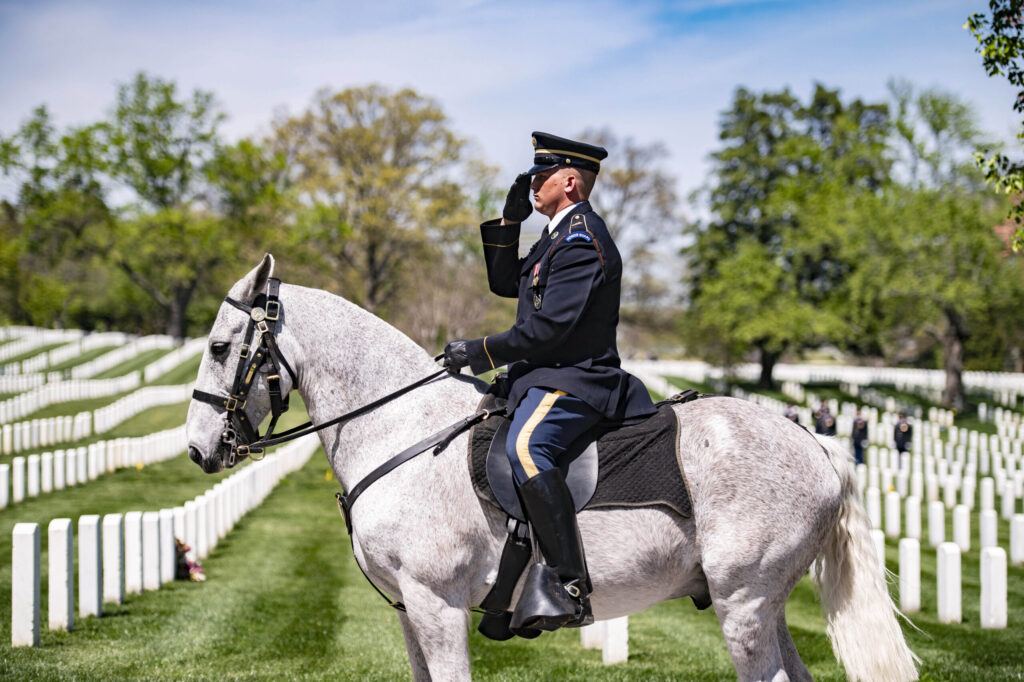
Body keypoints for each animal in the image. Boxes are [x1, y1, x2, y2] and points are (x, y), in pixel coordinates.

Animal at [185, 254, 918, 682]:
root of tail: (818, 448)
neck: (404, 430)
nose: (197, 450)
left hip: (745, 605)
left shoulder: (436, 604)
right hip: (763, 608)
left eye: (220, 346)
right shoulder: (409, 612)